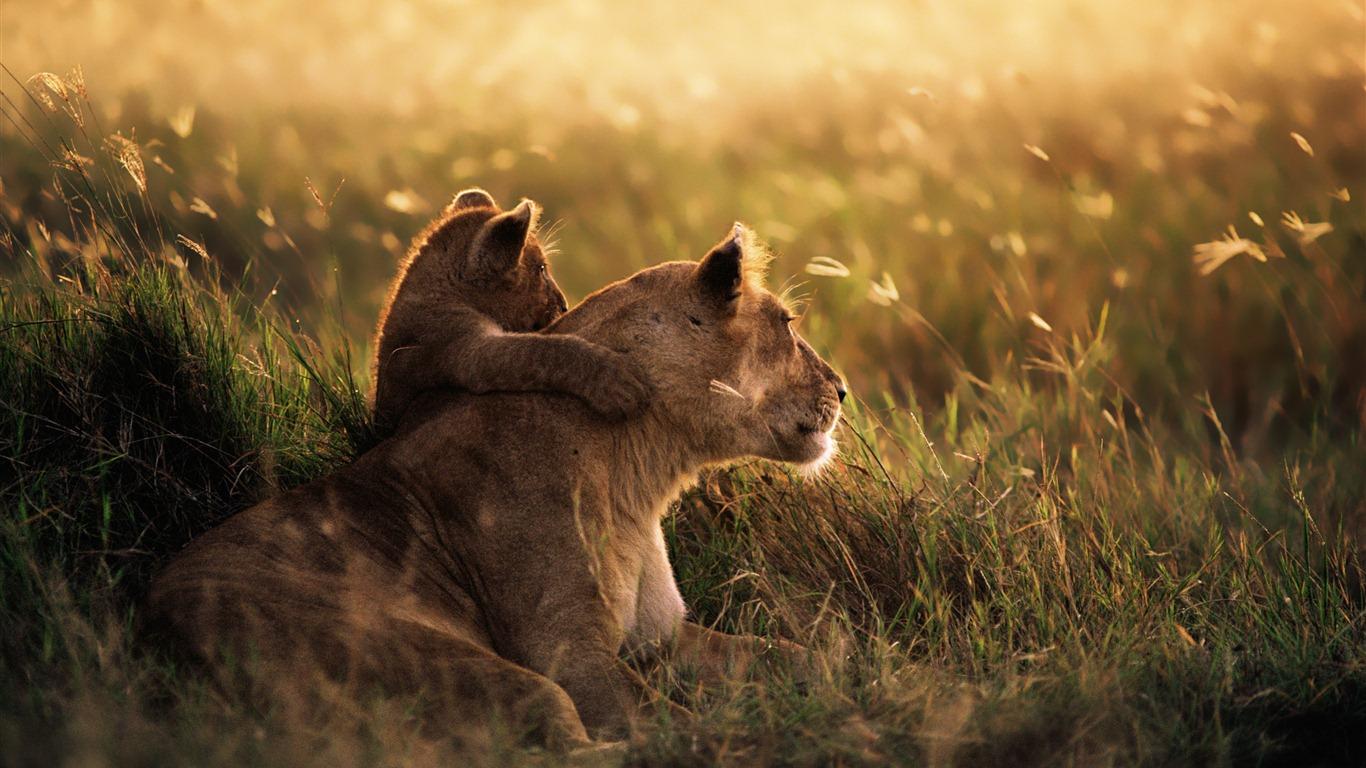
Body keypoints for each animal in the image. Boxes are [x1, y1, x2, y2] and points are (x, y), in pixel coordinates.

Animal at [144, 223, 846, 749]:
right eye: (787, 323)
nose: (842, 390)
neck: (641, 471)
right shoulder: (566, 652)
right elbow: (669, 724)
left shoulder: (662, 637)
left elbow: (796, 654)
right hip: (456, 664)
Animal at [371, 188, 651, 433]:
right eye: (541, 269)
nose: (564, 305)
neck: (442, 292)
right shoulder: (465, 350)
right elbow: (541, 351)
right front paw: (616, 381)